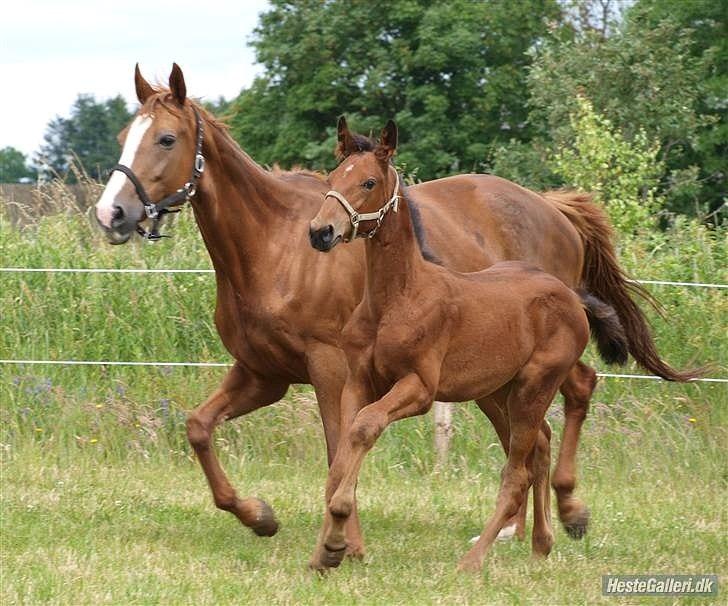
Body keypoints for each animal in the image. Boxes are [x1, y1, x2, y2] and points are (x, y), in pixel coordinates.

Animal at [310, 121, 628, 572]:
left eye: (368, 182)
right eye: (332, 178)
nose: (320, 232)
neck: (397, 297)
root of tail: (569, 295)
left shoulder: (420, 388)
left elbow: (365, 427)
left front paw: (336, 535)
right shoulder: (359, 381)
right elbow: (342, 453)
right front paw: (328, 549)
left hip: (534, 386)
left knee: (518, 471)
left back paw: (475, 560)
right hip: (499, 390)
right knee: (538, 449)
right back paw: (542, 542)